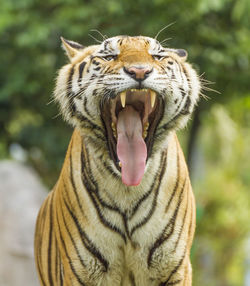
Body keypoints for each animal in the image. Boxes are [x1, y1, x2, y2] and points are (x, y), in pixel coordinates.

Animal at [33, 34, 201, 284]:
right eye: (109, 56)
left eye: (157, 56)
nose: (139, 71)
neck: (128, 190)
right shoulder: (81, 271)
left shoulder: (174, 267)